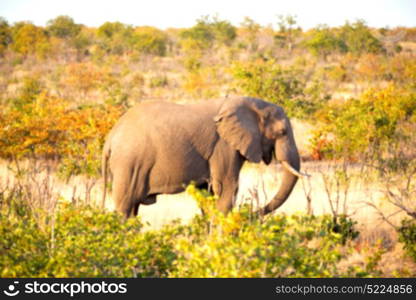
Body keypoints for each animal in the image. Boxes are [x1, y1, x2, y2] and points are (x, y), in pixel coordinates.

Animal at [102, 96, 308, 218]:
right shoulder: (223, 146)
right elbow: (226, 189)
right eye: (282, 132)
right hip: (129, 163)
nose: (252, 214)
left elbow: (207, 194)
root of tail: (110, 138)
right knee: (126, 207)